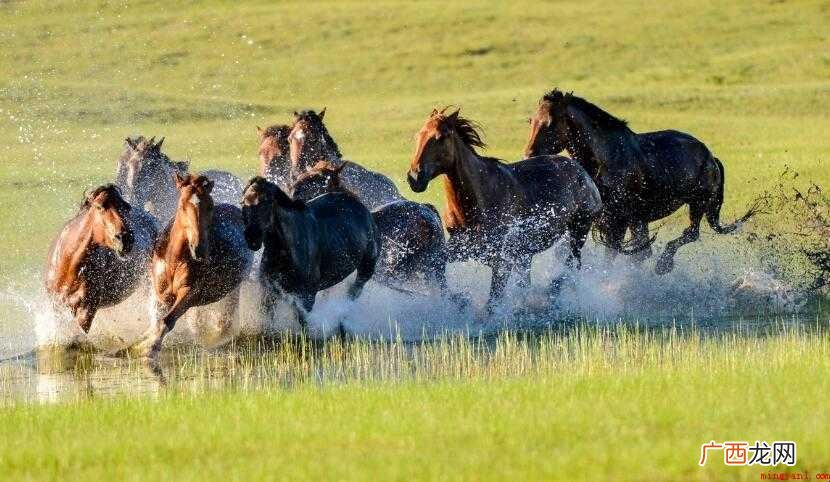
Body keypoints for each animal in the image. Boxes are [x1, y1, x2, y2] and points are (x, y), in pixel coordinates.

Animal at [44, 185, 158, 334]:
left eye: (126, 206)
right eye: (99, 207)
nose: (125, 239)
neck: (69, 266)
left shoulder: (86, 311)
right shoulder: (56, 306)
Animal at [129, 174, 253, 358]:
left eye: (210, 205)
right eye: (182, 205)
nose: (199, 249)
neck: (174, 261)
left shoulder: (189, 293)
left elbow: (167, 321)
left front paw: (150, 349)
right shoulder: (162, 295)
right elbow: (157, 320)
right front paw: (135, 345)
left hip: (233, 289)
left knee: (225, 320)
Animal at [241, 177, 381, 329]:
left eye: (267, 202)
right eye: (243, 202)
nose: (252, 237)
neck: (285, 250)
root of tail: (365, 211)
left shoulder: (306, 296)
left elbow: (303, 323)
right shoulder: (269, 291)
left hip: (366, 268)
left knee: (353, 293)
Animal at [407, 108, 603, 310]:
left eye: (440, 137)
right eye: (418, 136)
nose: (414, 177)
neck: (477, 201)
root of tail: (582, 172)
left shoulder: (501, 260)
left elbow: (493, 299)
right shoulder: (463, 246)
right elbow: (437, 264)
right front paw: (457, 298)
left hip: (579, 230)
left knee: (572, 264)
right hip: (526, 254)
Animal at [523, 89, 757, 274]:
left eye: (550, 123)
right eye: (531, 121)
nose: (528, 155)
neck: (605, 160)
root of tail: (711, 157)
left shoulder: (617, 221)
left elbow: (614, 255)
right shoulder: (599, 218)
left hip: (696, 204)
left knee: (690, 233)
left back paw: (663, 265)